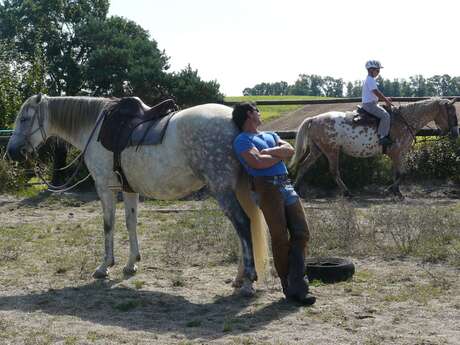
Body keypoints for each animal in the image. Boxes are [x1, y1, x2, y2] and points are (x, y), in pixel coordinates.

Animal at [6, 94, 270, 296]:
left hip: (222, 188)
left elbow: (108, 225)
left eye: (25, 118)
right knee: (242, 228)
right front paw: (131, 263)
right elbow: (130, 222)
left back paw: (248, 281)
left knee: (242, 224)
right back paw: (239, 278)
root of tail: (234, 119)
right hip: (233, 188)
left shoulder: (106, 188)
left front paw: (104, 266)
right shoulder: (128, 189)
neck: (95, 128)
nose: (12, 152)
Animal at [290, 98, 458, 198]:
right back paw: (347, 192)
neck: (404, 121)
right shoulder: (397, 153)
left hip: (317, 150)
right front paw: (392, 190)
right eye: (451, 113)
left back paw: (296, 188)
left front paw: (395, 191)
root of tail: (314, 119)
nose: (456, 133)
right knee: (334, 171)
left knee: (304, 165)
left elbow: (397, 173)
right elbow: (402, 173)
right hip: (331, 151)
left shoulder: (398, 154)